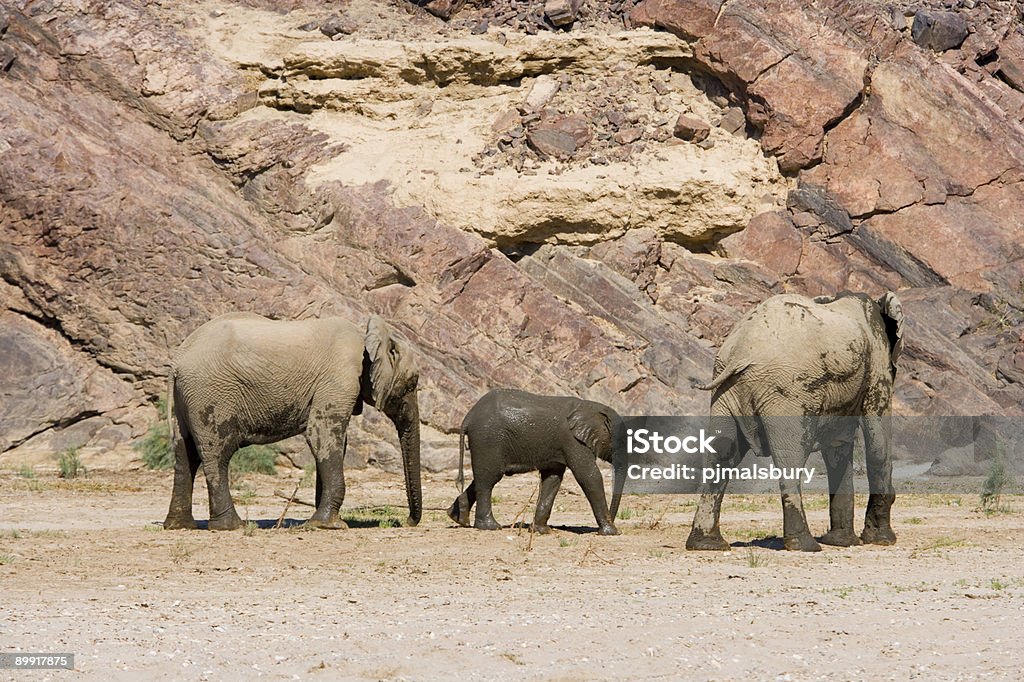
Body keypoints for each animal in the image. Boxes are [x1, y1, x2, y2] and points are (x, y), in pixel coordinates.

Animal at [161, 313, 421, 532]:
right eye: (412, 383)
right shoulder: (340, 377)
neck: (366, 334)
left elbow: (333, 442)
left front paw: (323, 520)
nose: (409, 522)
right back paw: (231, 526)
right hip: (211, 394)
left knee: (185, 453)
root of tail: (177, 362)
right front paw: (330, 526)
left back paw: (180, 526)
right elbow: (322, 433)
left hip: (188, 398)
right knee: (217, 453)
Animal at [446, 385, 622, 532]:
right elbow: (589, 475)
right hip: (488, 438)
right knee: (489, 479)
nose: (613, 520)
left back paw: (457, 518)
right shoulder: (573, 441)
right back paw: (490, 527)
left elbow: (552, 478)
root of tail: (468, 417)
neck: (592, 408)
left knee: (483, 476)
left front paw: (542, 531)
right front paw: (611, 532)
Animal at [688, 288, 905, 548]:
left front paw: (842, 542)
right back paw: (805, 545)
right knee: (790, 457)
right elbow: (877, 441)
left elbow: (838, 445)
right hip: (787, 392)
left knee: (721, 453)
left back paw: (707, 544)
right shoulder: (877, 361)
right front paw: (882, 540)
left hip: (726, 390)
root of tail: (740, 353)